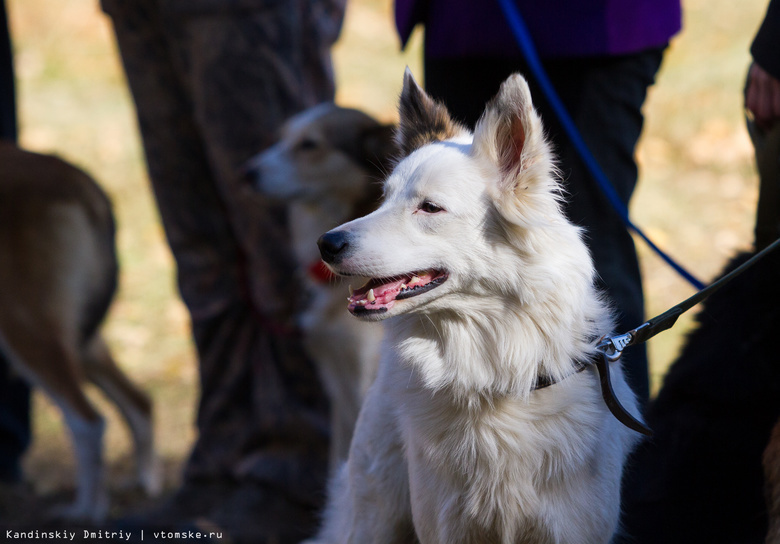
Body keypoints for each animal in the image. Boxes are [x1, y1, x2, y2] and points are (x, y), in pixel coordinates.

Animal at [0, 142, 161, 520]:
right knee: (138, 402)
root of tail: (77, 177)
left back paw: (85, 512)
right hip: (77, 335)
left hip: (24, 324)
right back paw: (144, 483)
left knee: (88, 422)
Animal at [308, 73, 644, 544]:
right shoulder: (445, 526)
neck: (494, 375)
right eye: (383, 199)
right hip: (372, 518)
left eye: (429, 207)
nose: (326, 244)